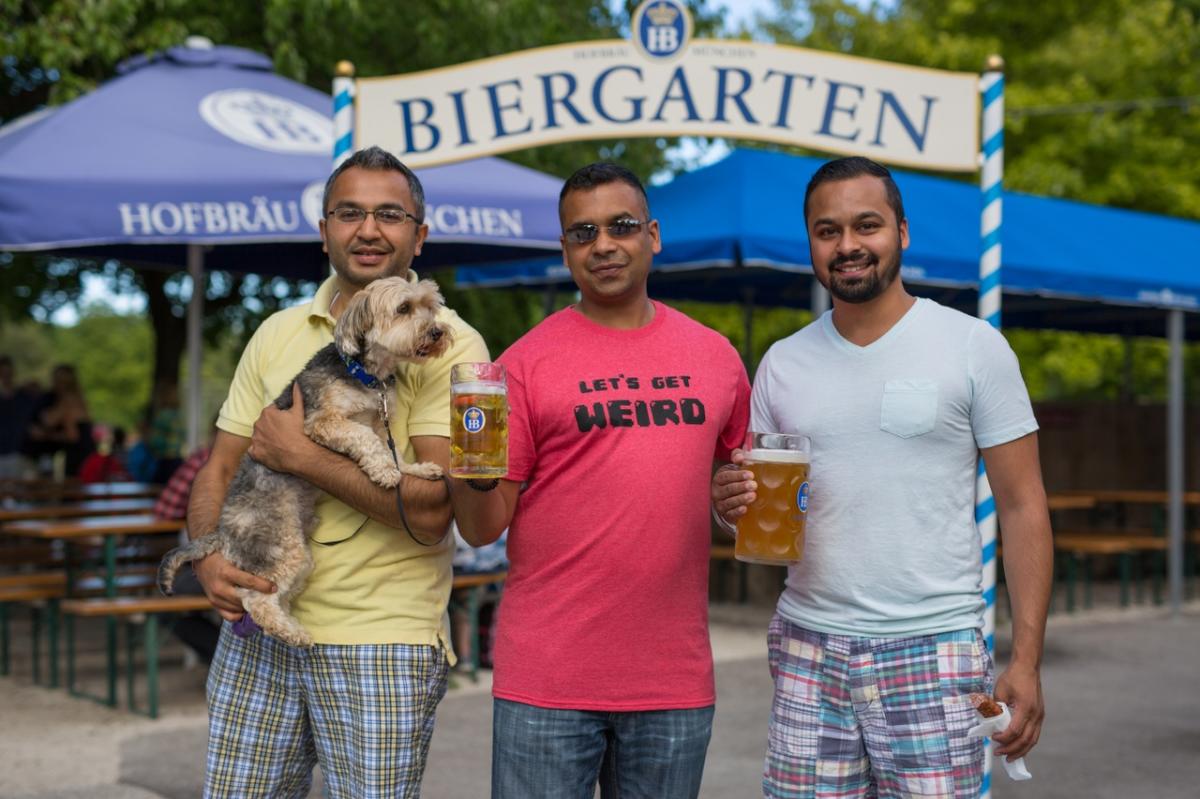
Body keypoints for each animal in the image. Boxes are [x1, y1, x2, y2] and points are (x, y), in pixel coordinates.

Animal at [157, 277, 451, 643]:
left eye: (430, 306)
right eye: (404, 308)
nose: (437, 331)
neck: (364, 374)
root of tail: (223, 533)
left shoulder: (376, 421)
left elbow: (393, 448)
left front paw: (416, 469)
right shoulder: (325, 422)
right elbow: (368, 441)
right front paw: (385, 471)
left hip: (300, 555)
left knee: (274, 599)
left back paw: (292, 628)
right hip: (283, 548)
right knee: (256, 600)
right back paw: (292, 633)